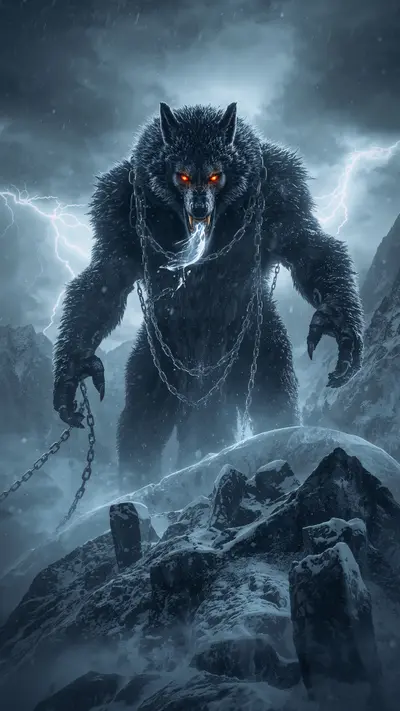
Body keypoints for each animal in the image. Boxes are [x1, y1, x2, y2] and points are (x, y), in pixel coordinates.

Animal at [53, 102, 364, 486]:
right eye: (183, 176)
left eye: (216, 176)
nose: (199, 208)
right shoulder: (115, 204)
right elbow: (105, 277)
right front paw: (71, 372)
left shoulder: (283, 189)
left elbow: (307, 246)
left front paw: (341, 328)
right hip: (157, 368)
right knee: (141, 425)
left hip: (259, 351)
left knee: (272, 401)